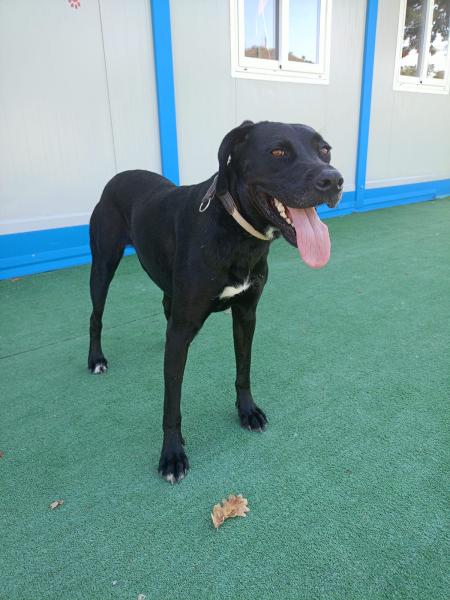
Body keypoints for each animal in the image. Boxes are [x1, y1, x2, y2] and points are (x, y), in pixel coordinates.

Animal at [88, 120, 343, 483]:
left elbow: (243, 368)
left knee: (165, 307)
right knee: (95, 315)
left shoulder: (246, 314)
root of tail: (117, 176)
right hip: (103, 265)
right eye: (278, 151)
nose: (334, 180)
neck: (238, 233)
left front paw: (247, 412)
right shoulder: (184, 327)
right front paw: (172, 454)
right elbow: (172, 401)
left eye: (325, 150)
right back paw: (96, 358)